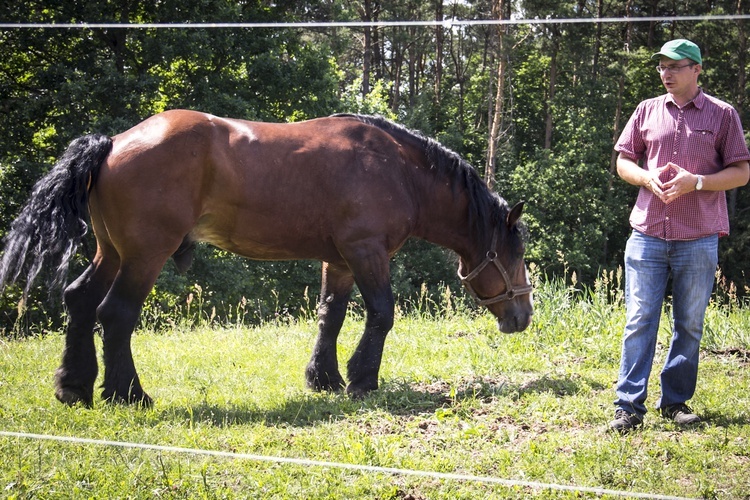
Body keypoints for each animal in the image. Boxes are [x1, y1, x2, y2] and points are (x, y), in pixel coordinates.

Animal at [0, 110, 536, 406]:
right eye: (517, 251)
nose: (524, 316)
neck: (398, 169)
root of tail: (112, 143)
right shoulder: (367, 252)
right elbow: (381, 314)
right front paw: (362, 379)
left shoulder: (340, 260)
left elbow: (330, 317)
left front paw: (324, 378)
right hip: (144, 255)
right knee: (115, 314)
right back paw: (128, 394)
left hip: (111, 252)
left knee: (79, 301)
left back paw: (74, 386)